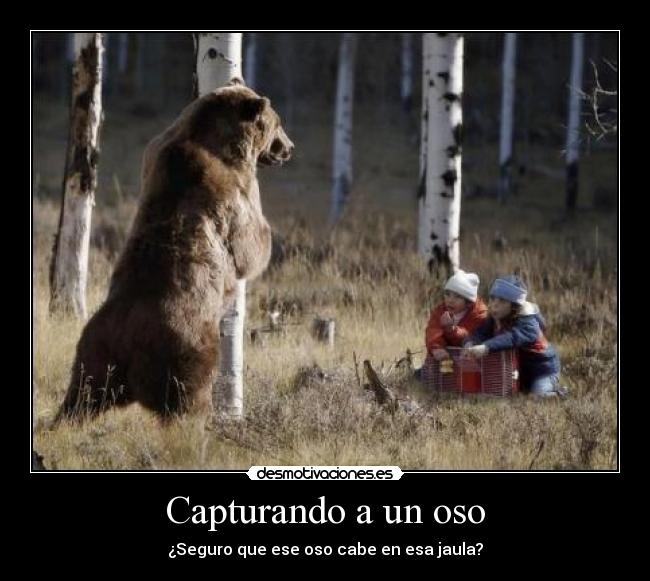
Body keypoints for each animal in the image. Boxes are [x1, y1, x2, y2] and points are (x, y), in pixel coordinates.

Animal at [55, 82, 293, 422]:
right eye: (278, 123)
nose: (289, 148)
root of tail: (128, 343)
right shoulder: (231, 188)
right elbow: (249, 243)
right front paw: (265, 240)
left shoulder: (156, 151)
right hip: (186, 350)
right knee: (188, 400)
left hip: (94, 354)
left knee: (80, 397)